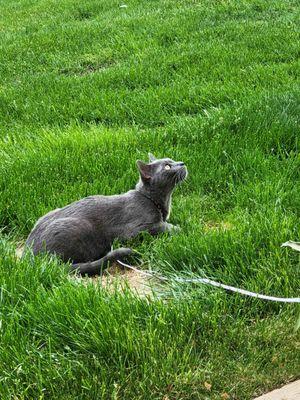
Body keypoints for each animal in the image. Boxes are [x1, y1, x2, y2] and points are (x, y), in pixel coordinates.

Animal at [24, 154, 186, 276]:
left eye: (172, 160)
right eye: (167, 166)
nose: (182, 163)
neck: (154, 200)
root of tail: (30, 257)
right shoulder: (136, 230)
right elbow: (164, 226)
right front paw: (180, 229)